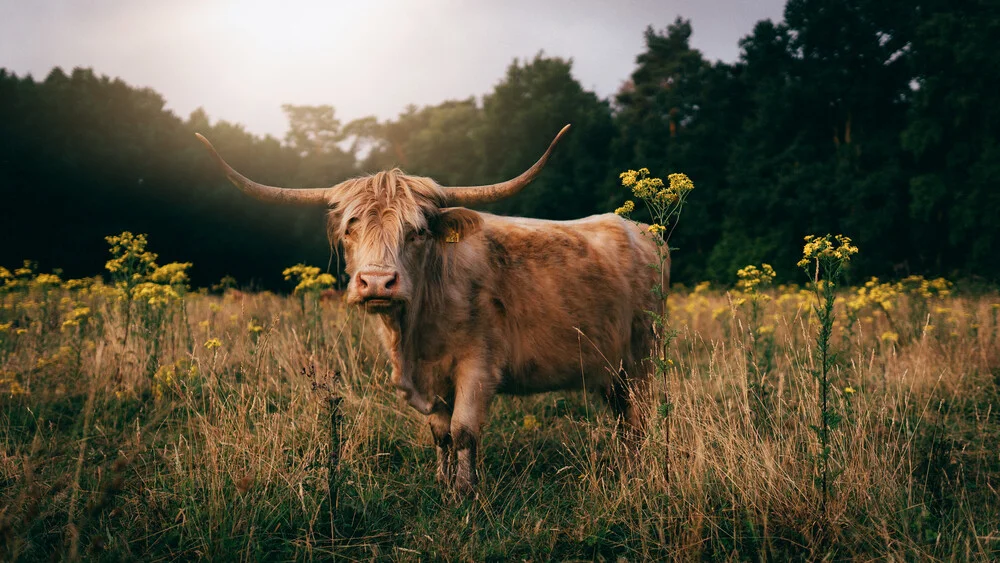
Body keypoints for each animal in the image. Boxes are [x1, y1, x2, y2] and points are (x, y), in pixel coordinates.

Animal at [195, 126, 664, 494]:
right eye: (349, 229)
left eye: (417, 231)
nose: (377, 282)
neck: (416, 333)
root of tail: (639, 228)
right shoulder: (431, 378)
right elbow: (441, 434)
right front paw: (443, 483)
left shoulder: (478, 368)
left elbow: (463, 431)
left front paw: (465, 493)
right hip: (612, 369)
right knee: (624, 419)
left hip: (643, 356)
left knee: (640, 417)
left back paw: (637, 472)